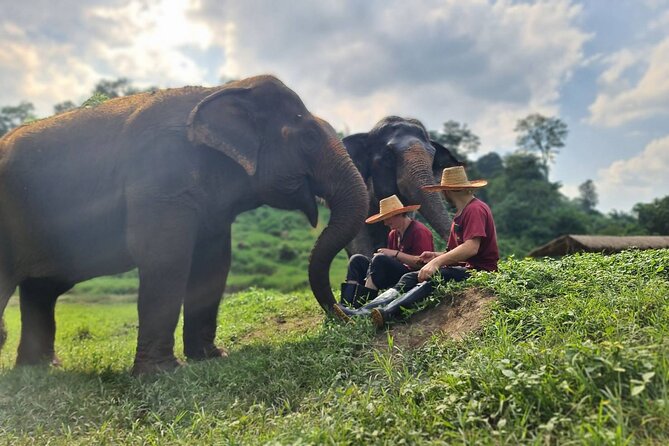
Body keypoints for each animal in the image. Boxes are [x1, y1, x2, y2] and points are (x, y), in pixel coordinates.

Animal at [0, 75, 366, 374]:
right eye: (308, 139)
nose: (345, 315)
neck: (218, 91)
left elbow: (214, 263)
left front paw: (212, 357)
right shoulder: (159, 176)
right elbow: (166, 256)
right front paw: (162, 373)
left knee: (41, 291)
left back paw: (40, 369)